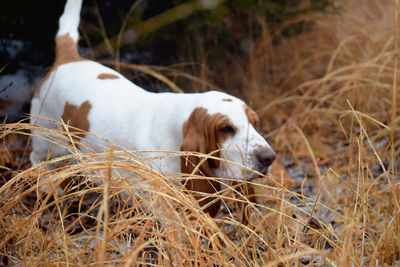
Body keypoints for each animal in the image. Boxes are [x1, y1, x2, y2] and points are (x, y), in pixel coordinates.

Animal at [30, 0, 276, 218]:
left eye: (255, 123)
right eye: (226, 128)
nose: (269, 157)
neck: (177, 130)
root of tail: (68, 58)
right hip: (46, 141)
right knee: (36, 158)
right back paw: (47, 187)